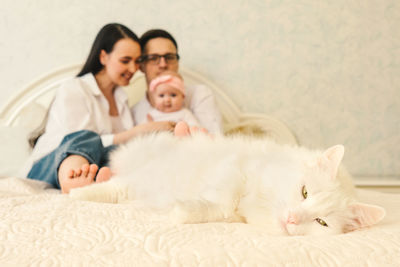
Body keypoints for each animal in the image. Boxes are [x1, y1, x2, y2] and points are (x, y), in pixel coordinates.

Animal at [70, 133, 386, 237]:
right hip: (141, 178)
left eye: (322, 222)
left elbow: (216, 210)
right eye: (305, 192)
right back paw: (76, 191)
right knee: (111, 187)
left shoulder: (233, 211)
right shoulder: (236, 170)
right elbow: (224, 198)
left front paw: (180, 212)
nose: (292, 218)